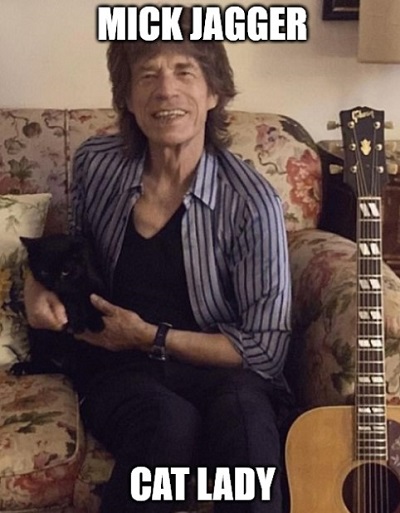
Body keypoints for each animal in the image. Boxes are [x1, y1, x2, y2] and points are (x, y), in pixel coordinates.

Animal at [10, 233, 107, 377]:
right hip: (36, 333)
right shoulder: (61, 294)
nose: (54, 283)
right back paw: (22, 368)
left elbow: (91, 301)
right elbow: (72, 300)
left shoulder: (97, 286)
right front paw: (77, 324)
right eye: (44, 271)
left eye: (65, 271)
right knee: (43, 364)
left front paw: (96, 323)